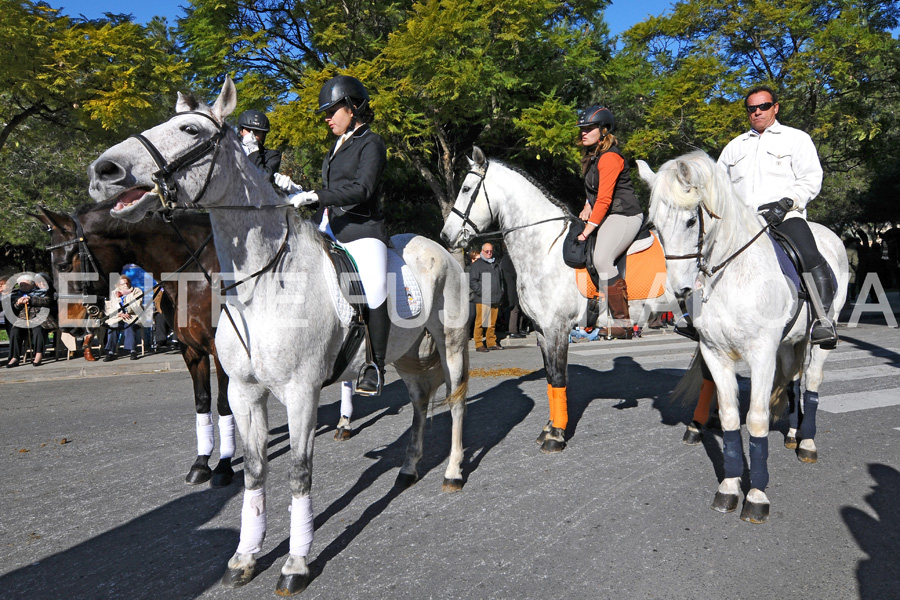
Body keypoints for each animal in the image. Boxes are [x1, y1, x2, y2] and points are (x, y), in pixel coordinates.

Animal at [34, 202, 234, 488]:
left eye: (62, 264)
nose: (64, 322)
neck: (196, 275)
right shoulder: (192, 351)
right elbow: (202, 402)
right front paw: (201, 463)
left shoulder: (222, 352)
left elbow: (224, 403)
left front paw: (225, 466)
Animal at [636, 151, 848, 524]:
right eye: (655, 227)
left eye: (690, 221)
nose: (680, 291)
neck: (730, 276)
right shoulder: (715, 353)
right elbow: (731, 417)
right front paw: (729, 488)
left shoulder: (761, 354)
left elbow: (757, 419)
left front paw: (757, 495)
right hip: (788, 344)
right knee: (793, 381)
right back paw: (794, 434)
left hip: (820, 338)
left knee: (811, 382)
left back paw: (807, 443)